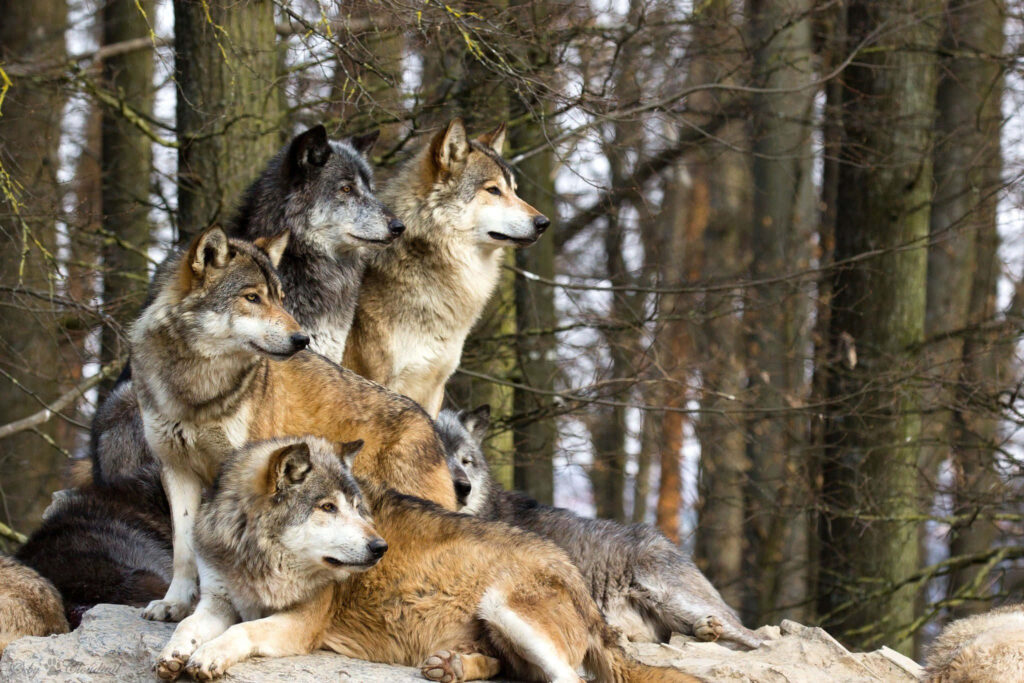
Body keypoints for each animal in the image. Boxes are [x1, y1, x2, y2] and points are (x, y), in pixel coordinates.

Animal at [132, 226, 457, 622]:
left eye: (281, 299)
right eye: (252, 298)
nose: (302, 339)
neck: (198, 389)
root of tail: (429, 422)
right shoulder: (176, 469)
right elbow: (183, 549)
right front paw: (174, 603)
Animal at [155, 436, 702, 683]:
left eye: (357, 507)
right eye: (327, 508)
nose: (379, 548)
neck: (257, 558)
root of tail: (577, 577)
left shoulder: (301, 624)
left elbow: (243, 632)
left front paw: (208, 657)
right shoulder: (217, 599)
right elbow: (188, 626)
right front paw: (175, 654)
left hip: (504, 606)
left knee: (568, 680)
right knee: (512, 672)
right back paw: (452, 666)